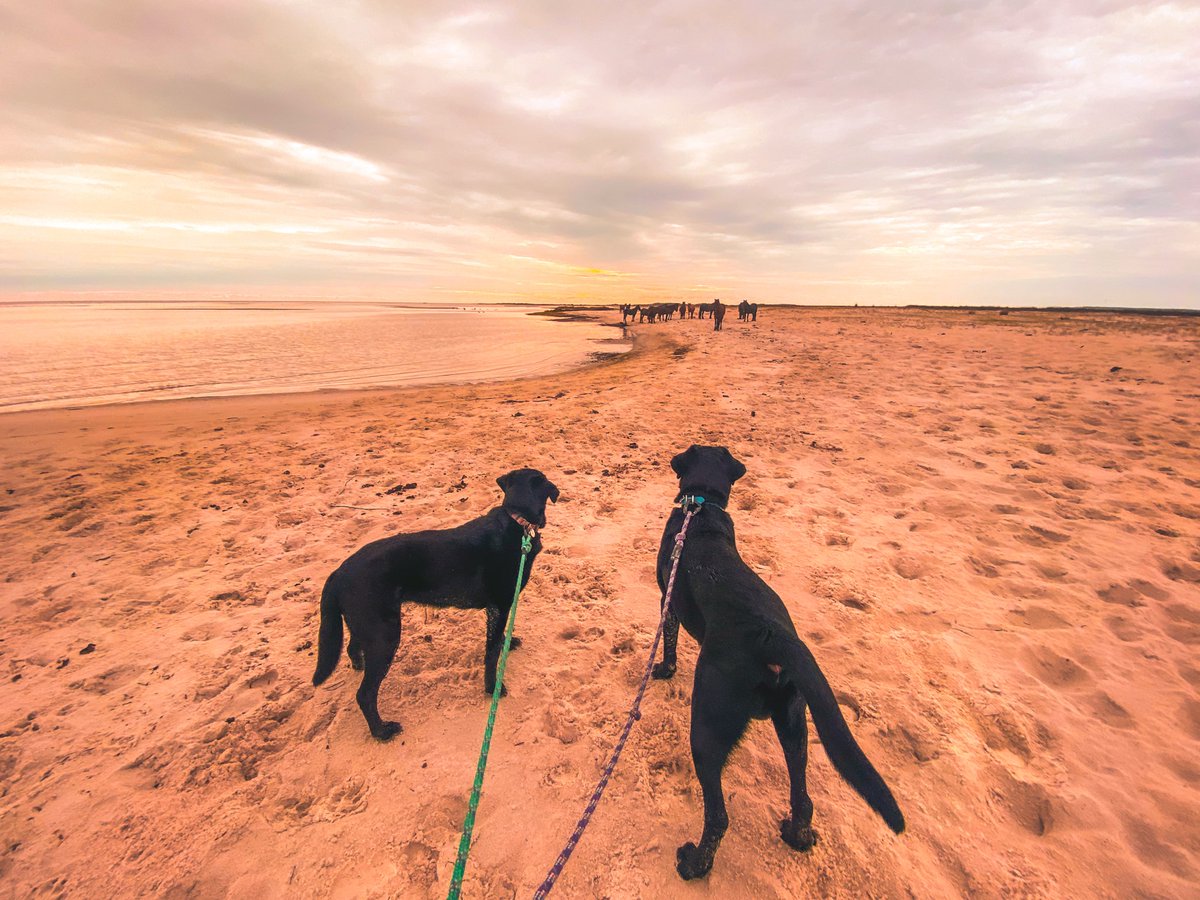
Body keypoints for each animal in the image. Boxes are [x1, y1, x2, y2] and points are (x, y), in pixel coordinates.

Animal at [307, 468, 554, 744]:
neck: (517, 521)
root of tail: (338, 573)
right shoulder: (499, 607)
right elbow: (491, 655)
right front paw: (493, 688)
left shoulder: (496, 611)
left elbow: (497, 639)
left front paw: (506, 643)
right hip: (385, 635)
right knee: (365, 694)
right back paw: (381, 731)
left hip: (366, 625)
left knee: (352, 648)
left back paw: (359, 668)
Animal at [657, 446, 902, 883]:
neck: (700, 507)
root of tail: (771, 635)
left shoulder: (667, 605)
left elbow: (667, 644)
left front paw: (663, 671)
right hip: (794, 721)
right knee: (803, 798)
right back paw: (797, 835)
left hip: (707, 725)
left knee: (718, 817)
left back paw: (694, 864)